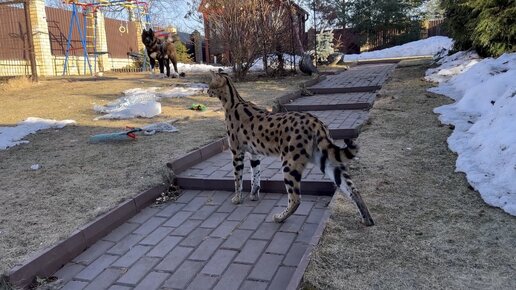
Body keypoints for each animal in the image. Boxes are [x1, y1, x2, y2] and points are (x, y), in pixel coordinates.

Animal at [207, 70, 374, 224]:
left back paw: (280, 217)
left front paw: (237, 198)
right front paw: (254, 195)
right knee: (353, 189)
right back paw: (367, 219)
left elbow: (237, 178)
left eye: (210, 85)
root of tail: (316, 121)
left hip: (289, 163)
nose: (206, 91)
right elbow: (256, 176)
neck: (233, 101)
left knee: (295, 198)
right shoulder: (254, 154)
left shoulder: (236, 152)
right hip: (326, 160)